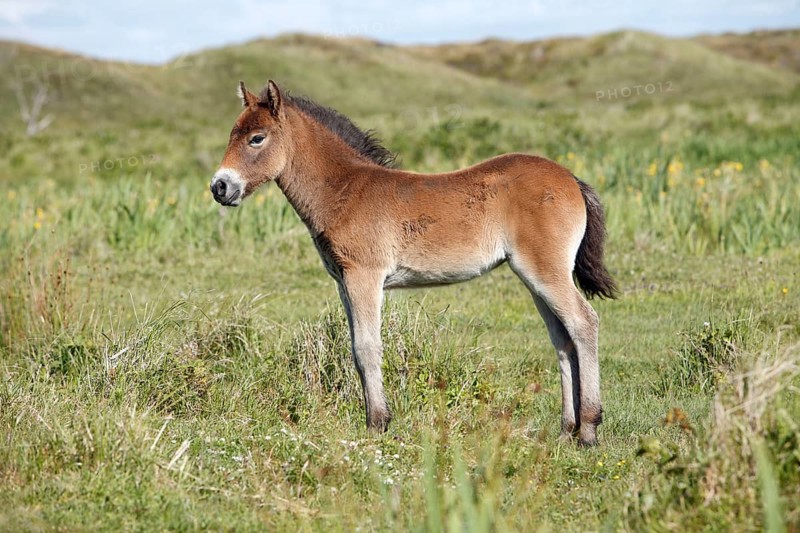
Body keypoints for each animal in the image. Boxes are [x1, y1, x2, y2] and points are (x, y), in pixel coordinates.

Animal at [210, 80, 617, 447]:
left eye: (256, 138)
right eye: (232, 134)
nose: (219, 187)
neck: (345, 191)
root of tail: (570, 178)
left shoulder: (365, 277)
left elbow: (368, 349)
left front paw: (377, 424)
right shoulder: (343, 282)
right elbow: (355, 349)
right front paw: (374, 419)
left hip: (544, 270)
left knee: (584, 323)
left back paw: (588, 431)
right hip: (535, 277)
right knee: (562, 338)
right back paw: (566, 431)